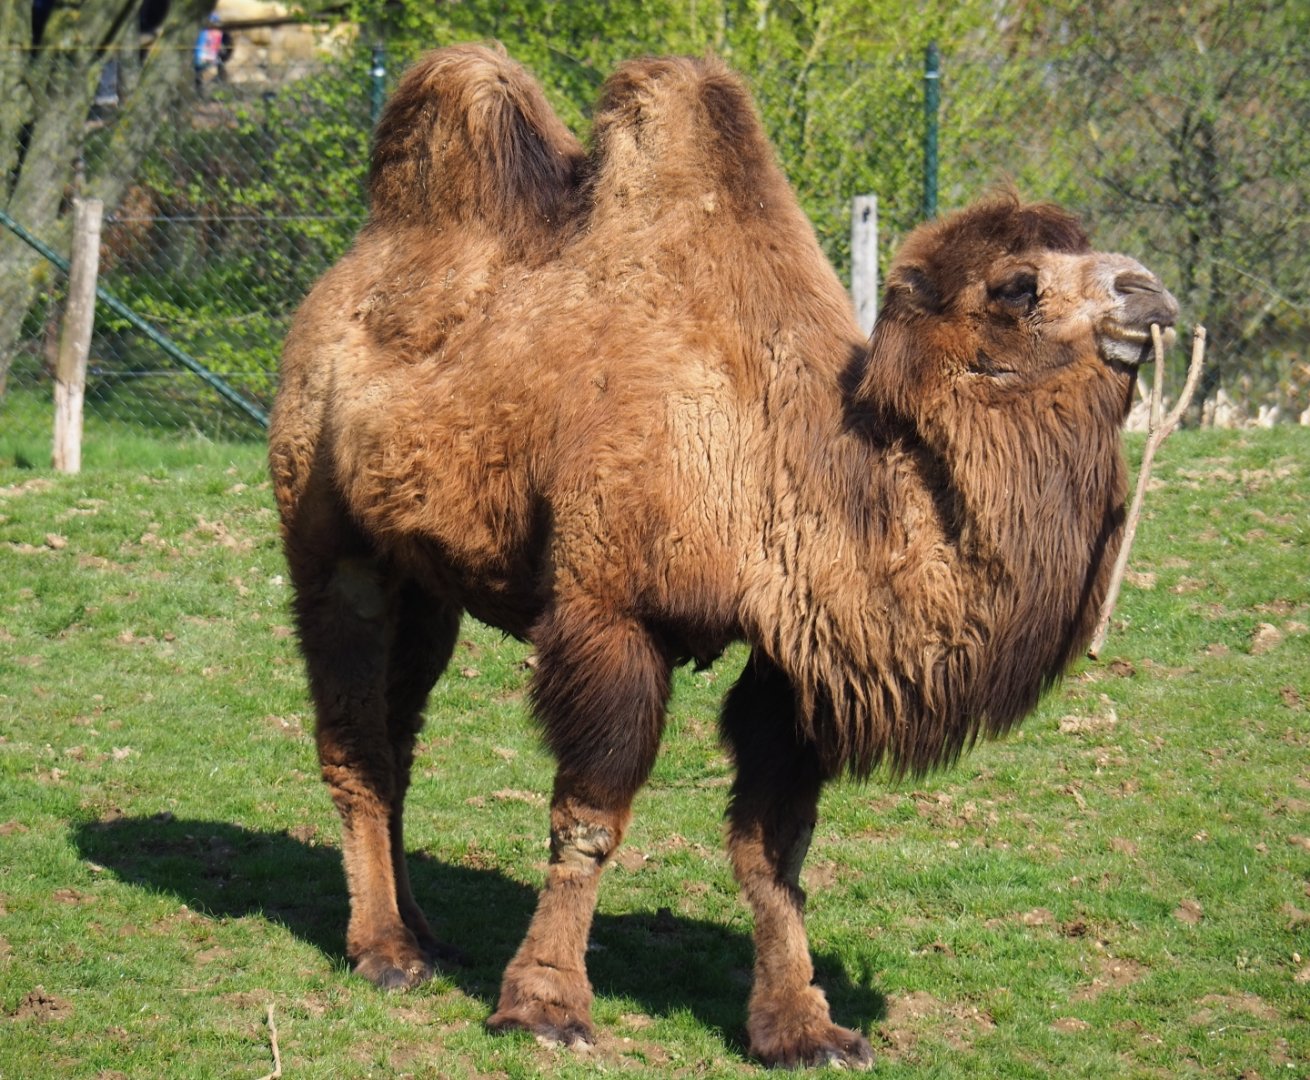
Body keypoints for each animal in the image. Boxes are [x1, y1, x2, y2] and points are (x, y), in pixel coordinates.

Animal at [268, 44, 1179, 1068]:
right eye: (1016, 286)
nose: (1148, 290)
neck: (784, 454)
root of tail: (340, 283)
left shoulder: (791, 654)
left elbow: (774, 847)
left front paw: (804, 1027)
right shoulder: (610, 609)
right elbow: (590, 818)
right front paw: (545, 1006)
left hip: (432, 581)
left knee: (401, 729)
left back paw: (424, 934)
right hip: (330, 540)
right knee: (353, 733)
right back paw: (384, 951)